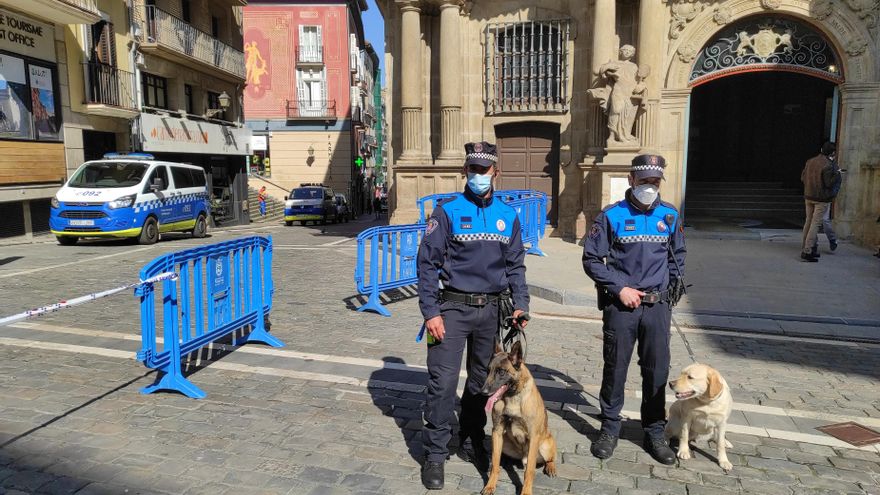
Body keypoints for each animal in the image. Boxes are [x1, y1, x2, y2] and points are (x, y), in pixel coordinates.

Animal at [482, 340, 556, 495]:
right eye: (488, 370)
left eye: (501, 372)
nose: (483, 392)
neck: (512, 397)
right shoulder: (497, 431)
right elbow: (495, 464)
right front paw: (490, 485)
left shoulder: (533, 437)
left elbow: (529, 471)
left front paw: (526, 491)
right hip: (504, 442)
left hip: (544, 446)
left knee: (550, 459)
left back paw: (551, 467)